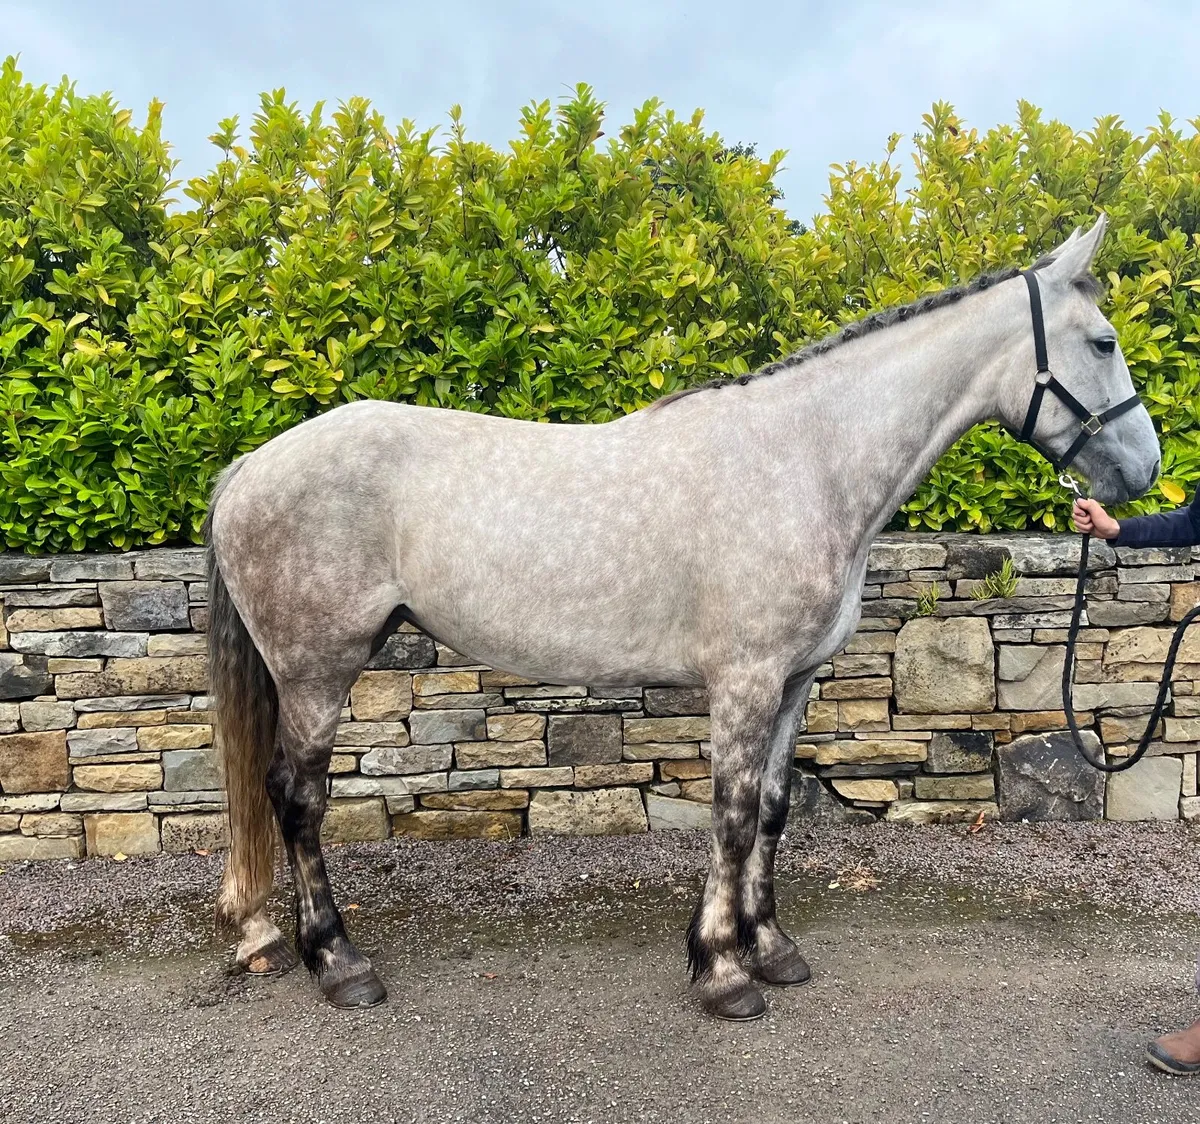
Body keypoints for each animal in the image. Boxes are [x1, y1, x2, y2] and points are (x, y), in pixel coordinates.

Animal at [206, 214, 1159, 1020]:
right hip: (317, 670)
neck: (804, 460)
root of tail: (252, 464)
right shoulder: (743, 680)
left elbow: (771, 809)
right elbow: (730, 814)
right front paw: (724, 972)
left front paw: (771, 947)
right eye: (1104, 341)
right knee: (297, 798)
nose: (1145, 471)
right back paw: (339, 963)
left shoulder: (794, 681)